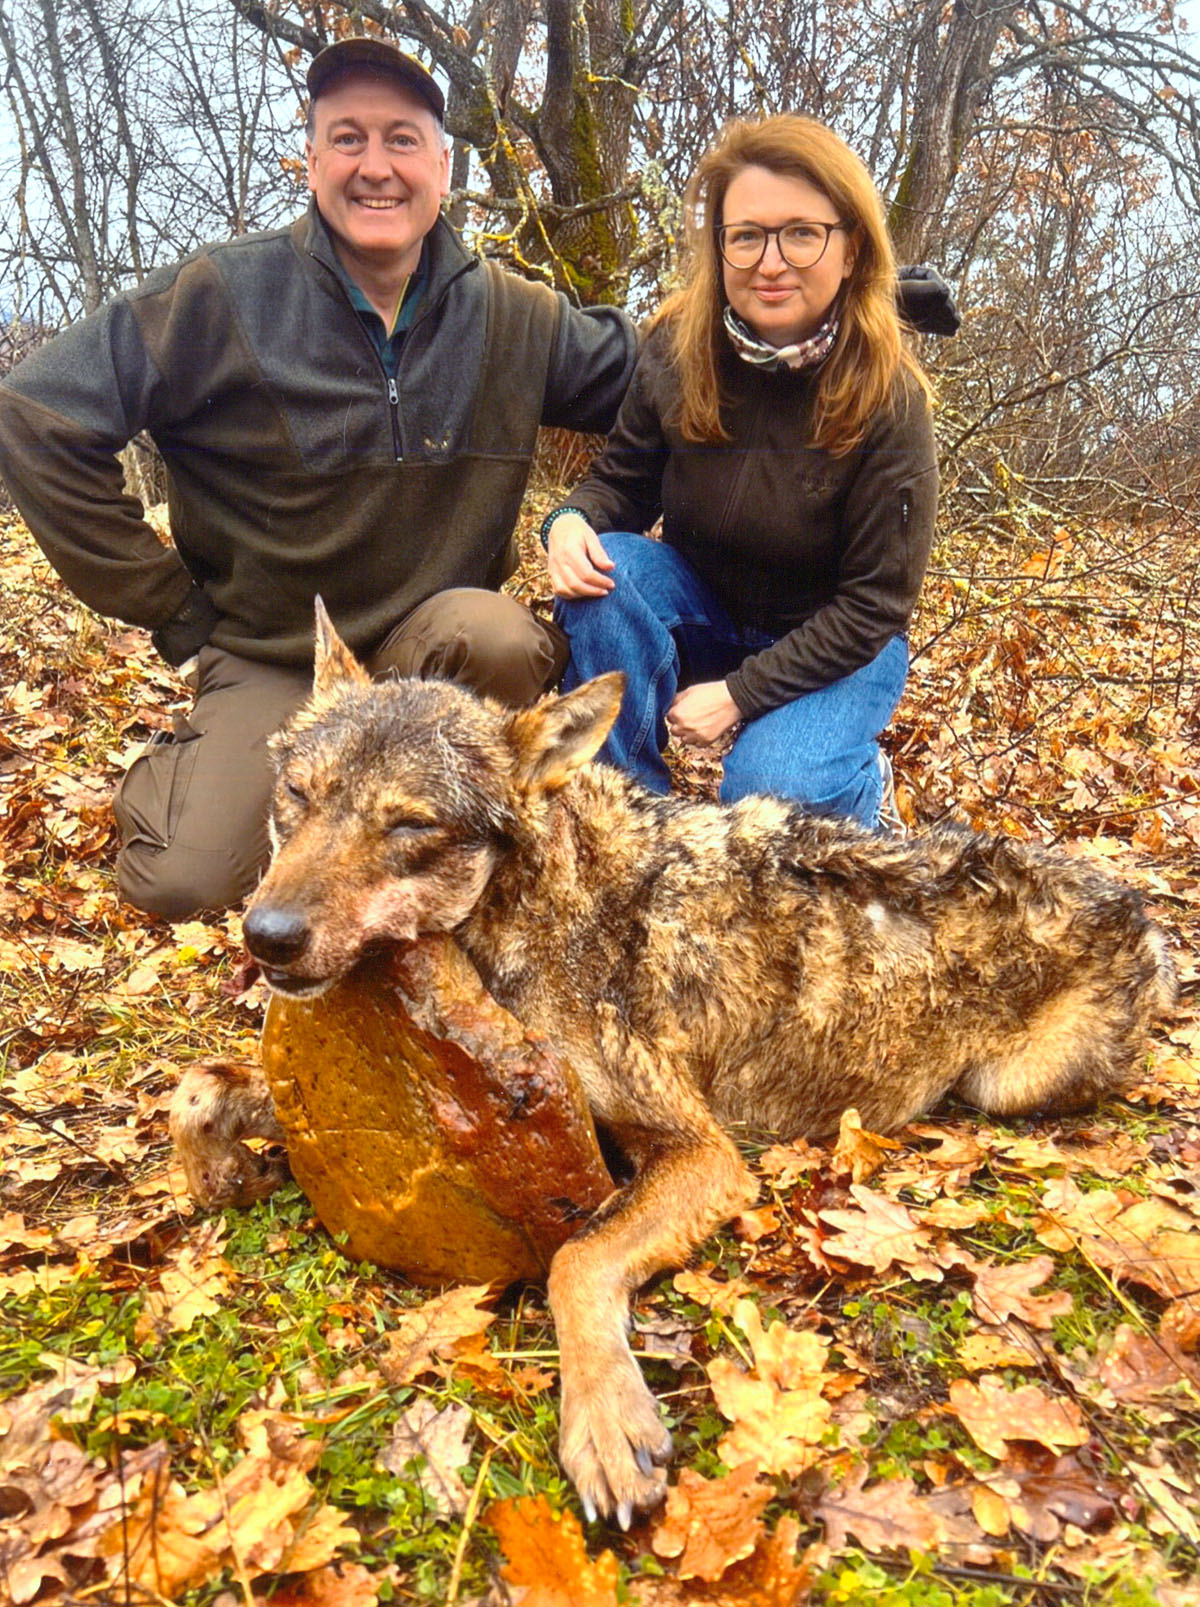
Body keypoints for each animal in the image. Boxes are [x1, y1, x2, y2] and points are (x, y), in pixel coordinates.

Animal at [229, 600, 1173, 1526]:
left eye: (410, 824)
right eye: (296, 796)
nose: (265, 934)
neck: (539, 899)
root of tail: (1143, 912)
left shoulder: (704, 1151)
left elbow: (576, 1260)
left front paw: (605, 1421)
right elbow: (223, 1087)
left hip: (1008, 1086)